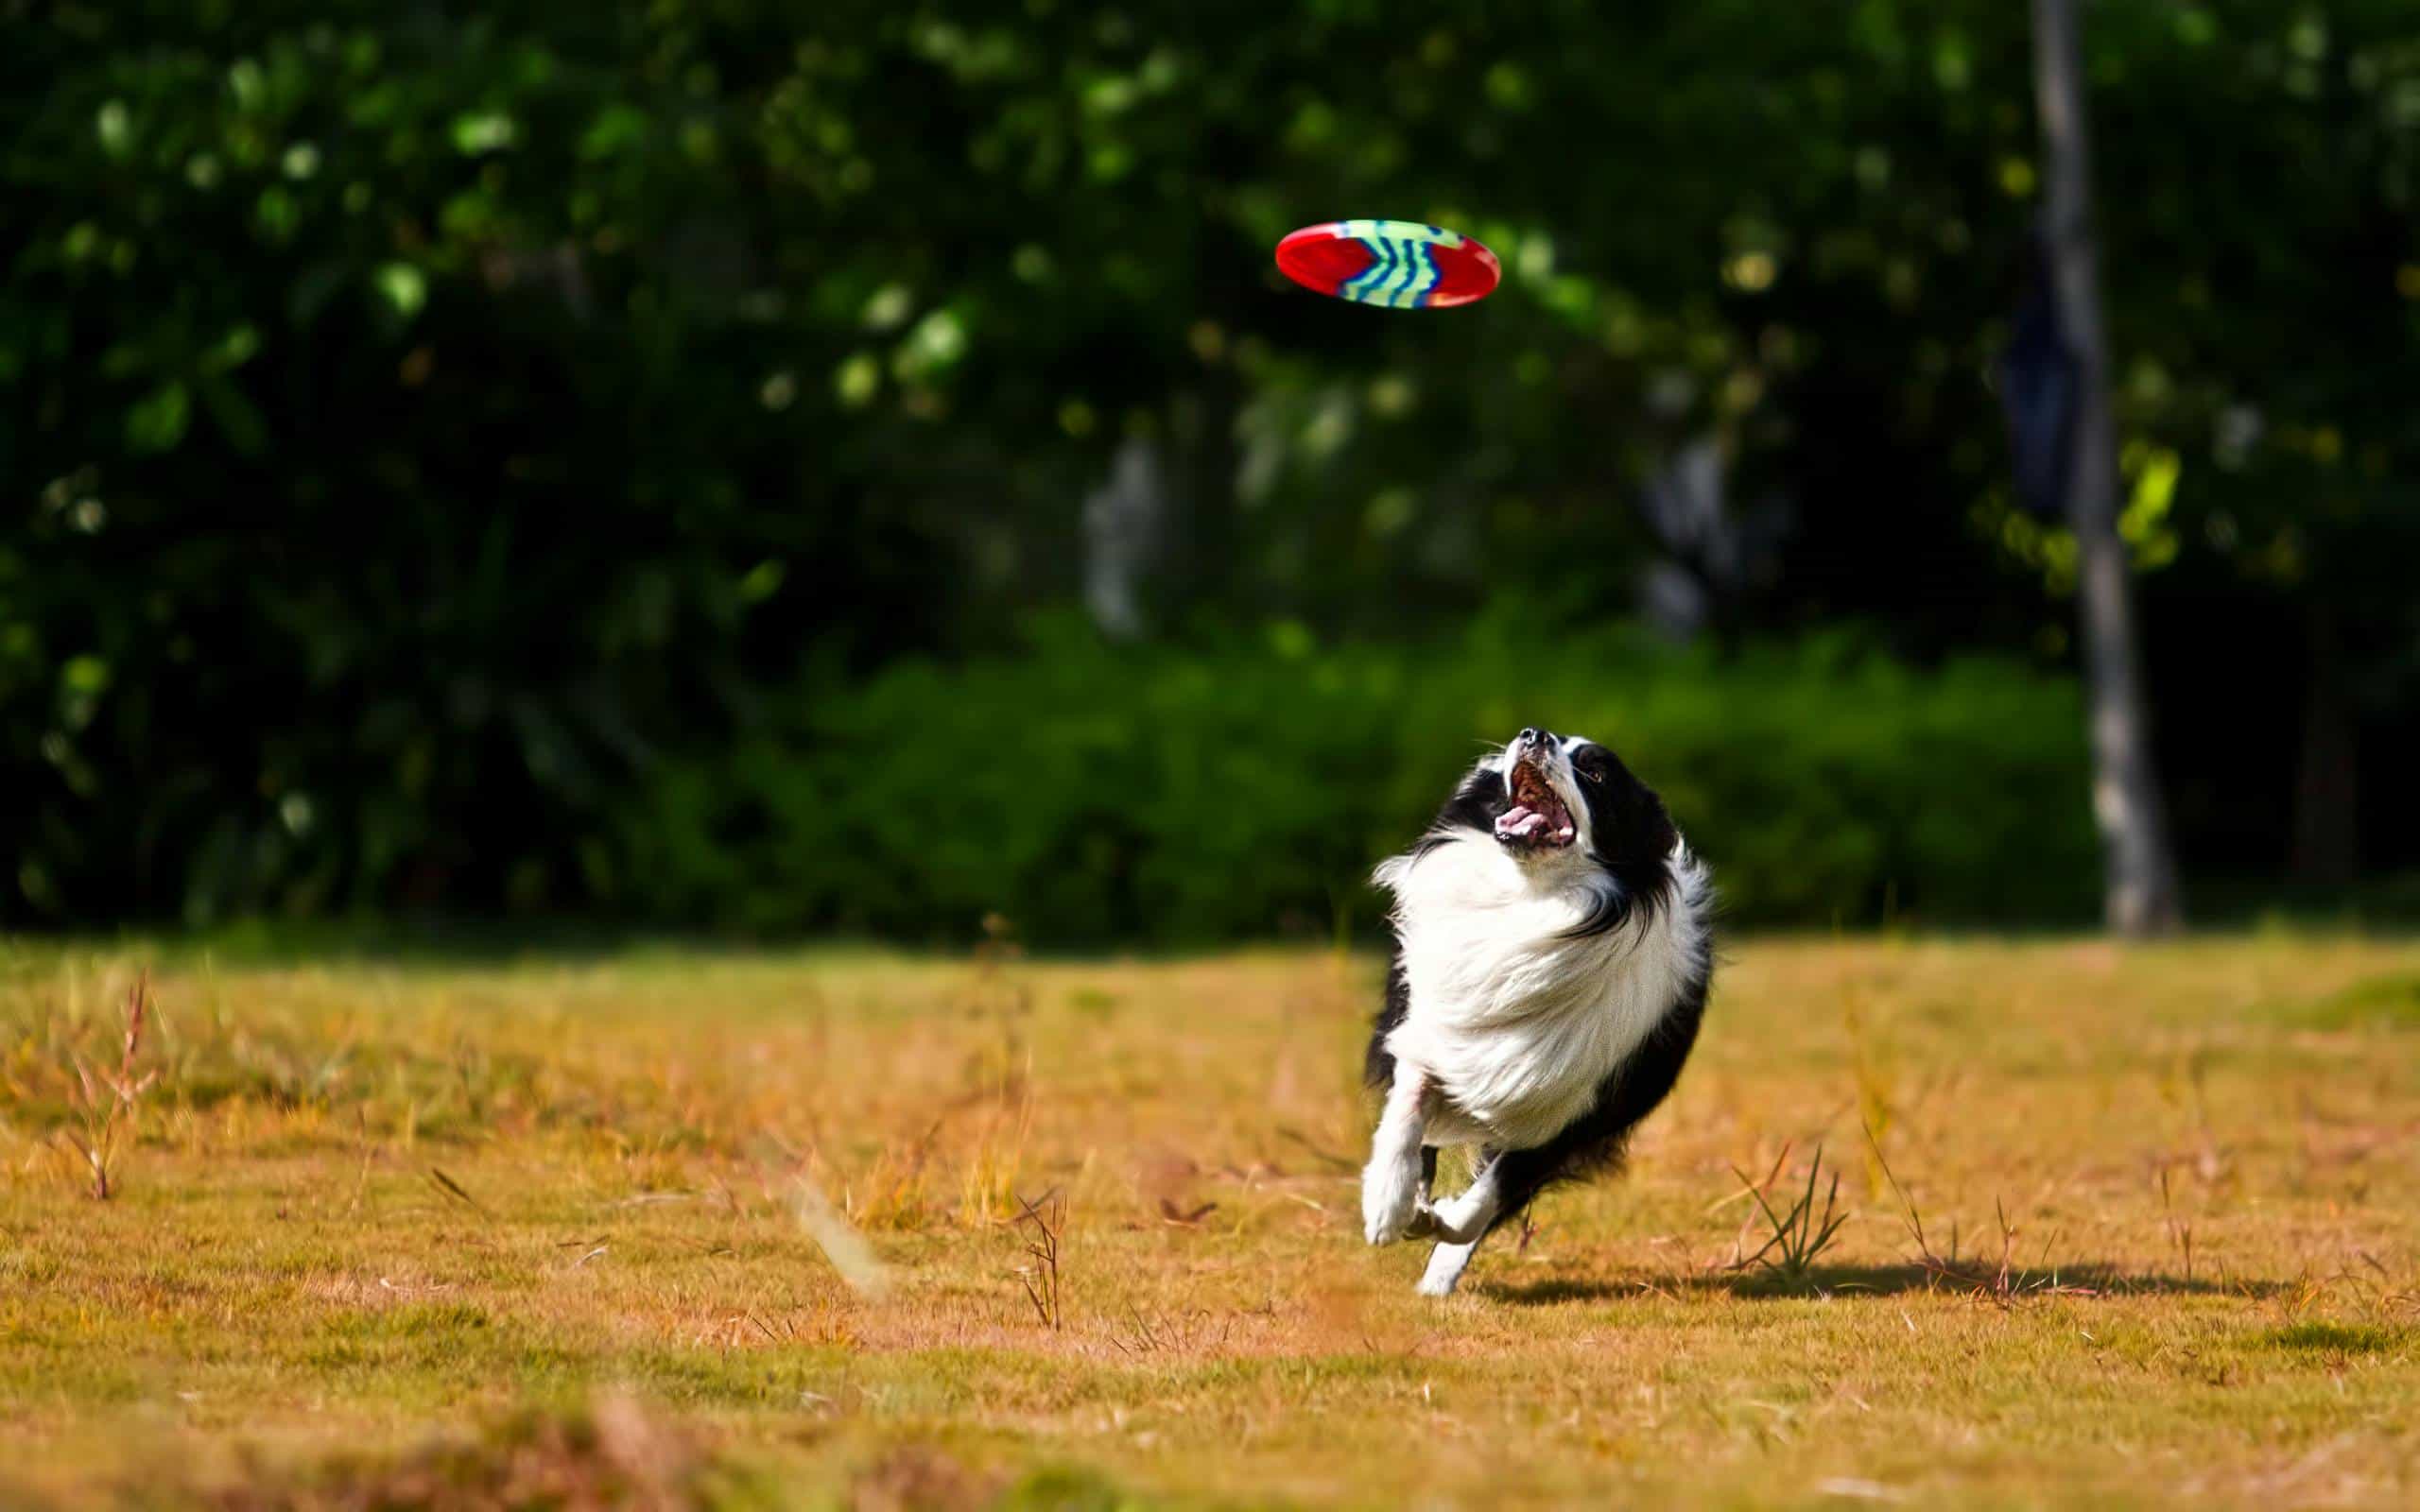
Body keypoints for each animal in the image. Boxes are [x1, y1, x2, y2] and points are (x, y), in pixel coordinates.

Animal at [1364, 726, 1722, 1286]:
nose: (1534, 734)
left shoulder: (1580, 1110)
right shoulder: (1432, 1033)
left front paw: (1440, 1224)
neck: (1534, 901)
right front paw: (1387, 1204)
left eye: (1595, 772)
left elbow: (1491, 1194)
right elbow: (1407, 1111)